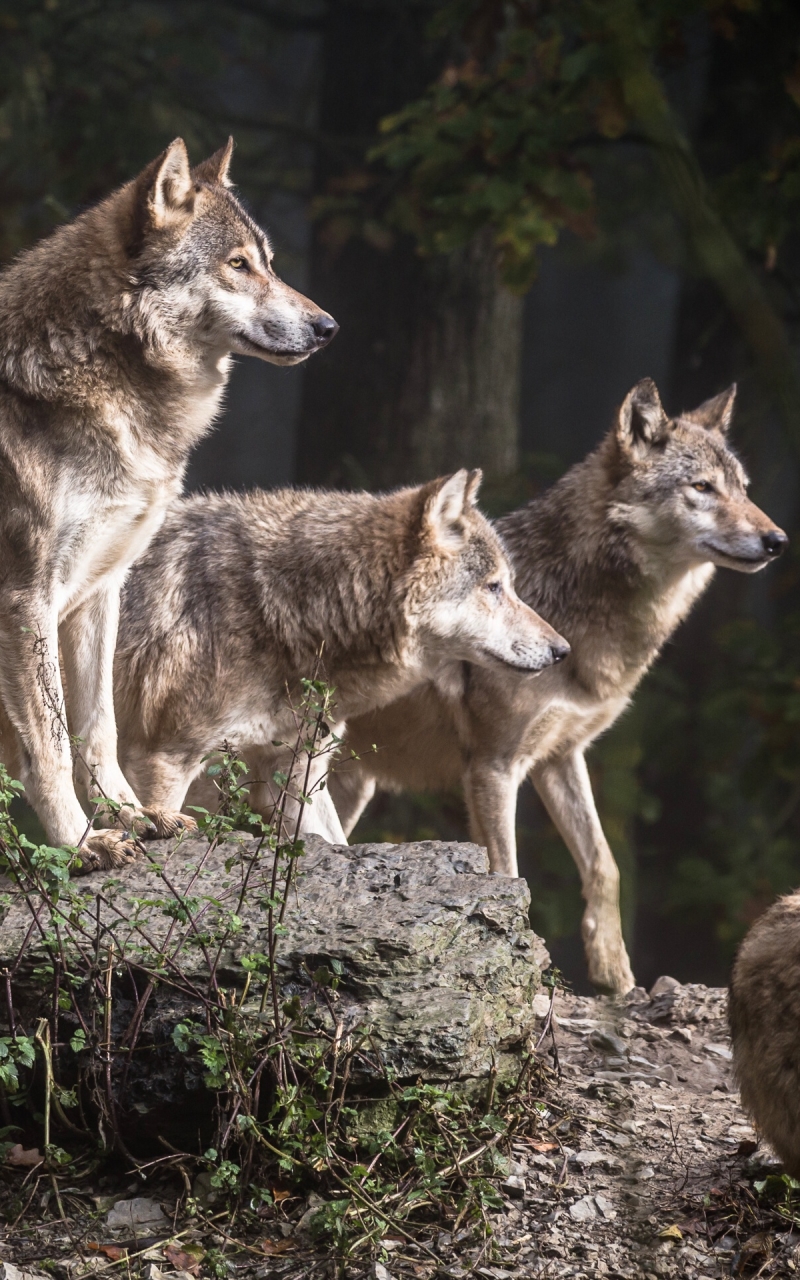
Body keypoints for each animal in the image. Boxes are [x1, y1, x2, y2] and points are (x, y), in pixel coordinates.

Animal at [0, 135, 332, 870]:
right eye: (237, 265)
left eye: (268, 262)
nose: (328, 326)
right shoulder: (24, 597)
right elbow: (49, 744)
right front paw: (79, 845)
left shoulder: (100, 590)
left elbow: (96, 730)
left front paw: (132, 817)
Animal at [110, 471, 568, 839]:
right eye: (494, 587)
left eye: (508, 585)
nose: (563, 650)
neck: (281, 606)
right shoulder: (161, 760)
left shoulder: (294, 776)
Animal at [330, 373, 788, 993]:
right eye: (702, 487)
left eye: (743, 488)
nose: (778, 540)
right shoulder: (493, 766)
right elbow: (507, 874)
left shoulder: (561, 756)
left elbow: (604, 865)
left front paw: (616, 974)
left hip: (351, 785)